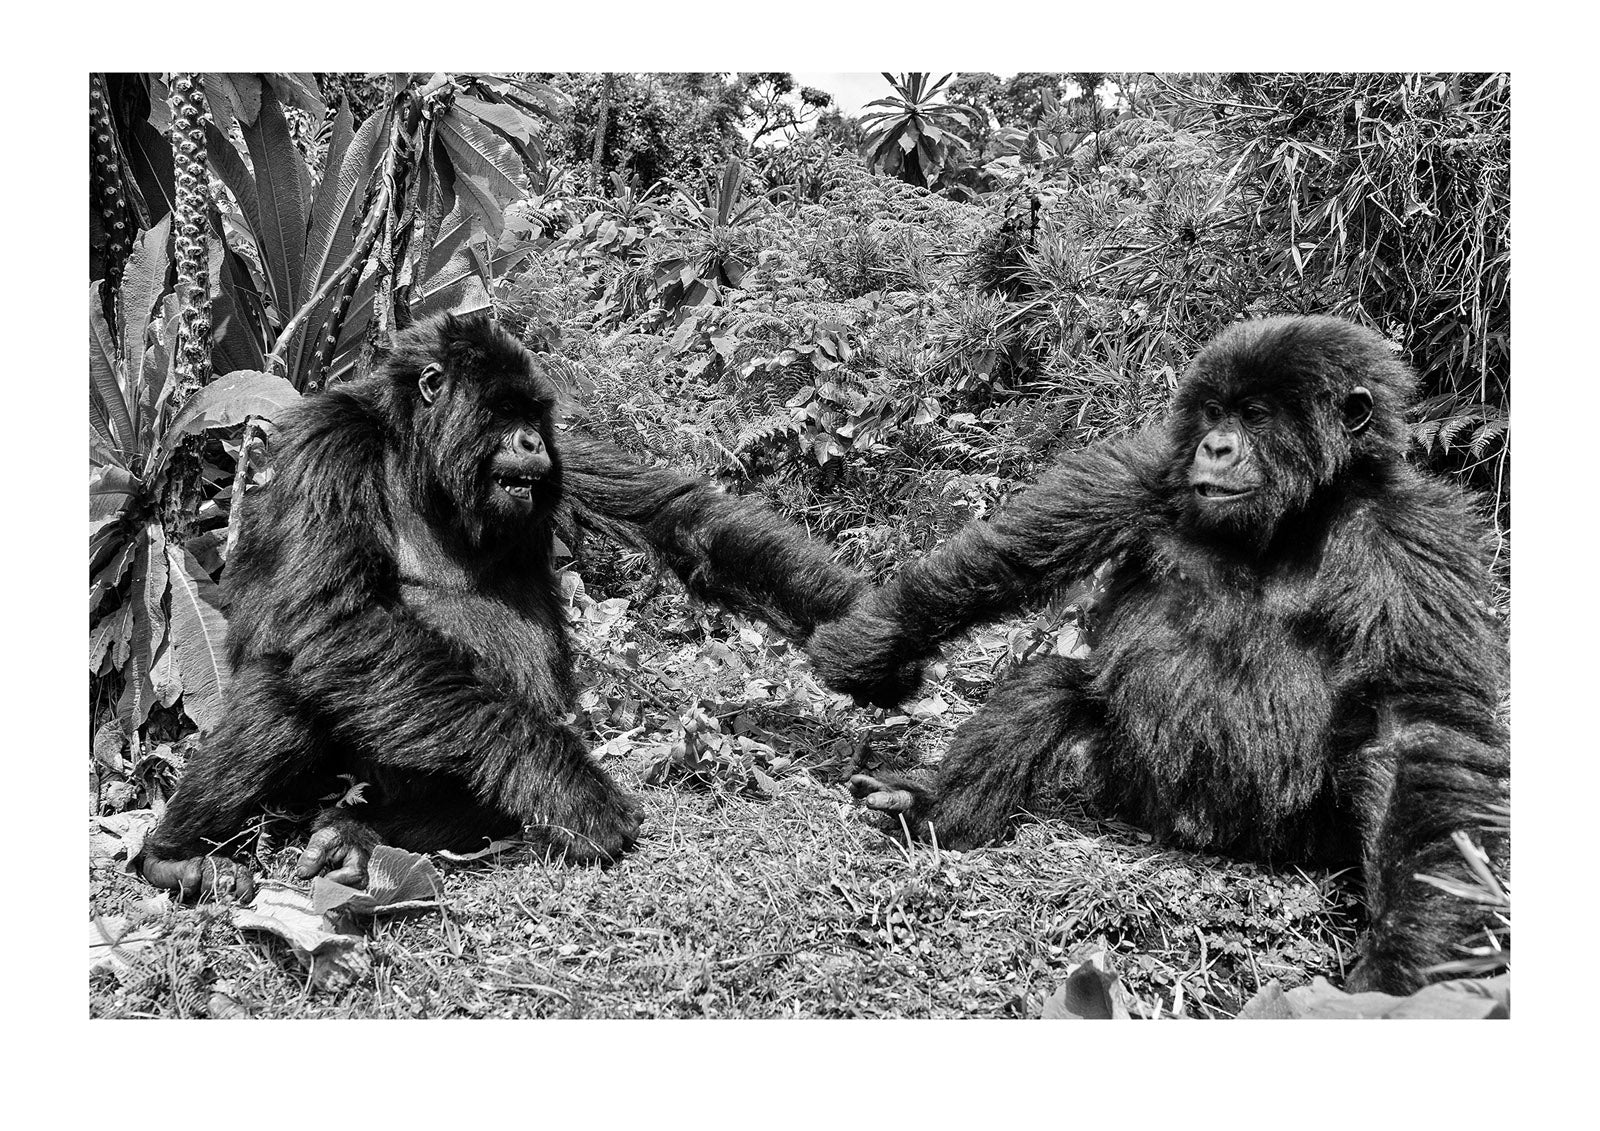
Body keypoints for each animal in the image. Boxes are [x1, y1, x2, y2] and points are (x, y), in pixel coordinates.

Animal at [137, 311, 864, 902]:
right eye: (502, 411)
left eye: (532, 416)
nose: (531, 443)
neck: (416, 452)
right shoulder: (329, 440)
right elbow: (335, 618)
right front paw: (567, 780)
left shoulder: (566, 446)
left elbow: (682, 521)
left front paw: (864, 628)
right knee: (289, 683)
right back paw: (175, 855)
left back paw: (358, 837)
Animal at [812, 316, 1510, 991]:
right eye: (1214, 413)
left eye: (1255, 415)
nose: (1216, 447)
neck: (1292, 519)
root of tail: (1196, 834)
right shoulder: (1148, 474)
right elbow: (1014, 556)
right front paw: (876, 647)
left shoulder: (1415, 539)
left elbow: (1416, 733)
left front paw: (1401, 960)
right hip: (1125, 777)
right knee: (1055, 686)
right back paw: (932, 809)